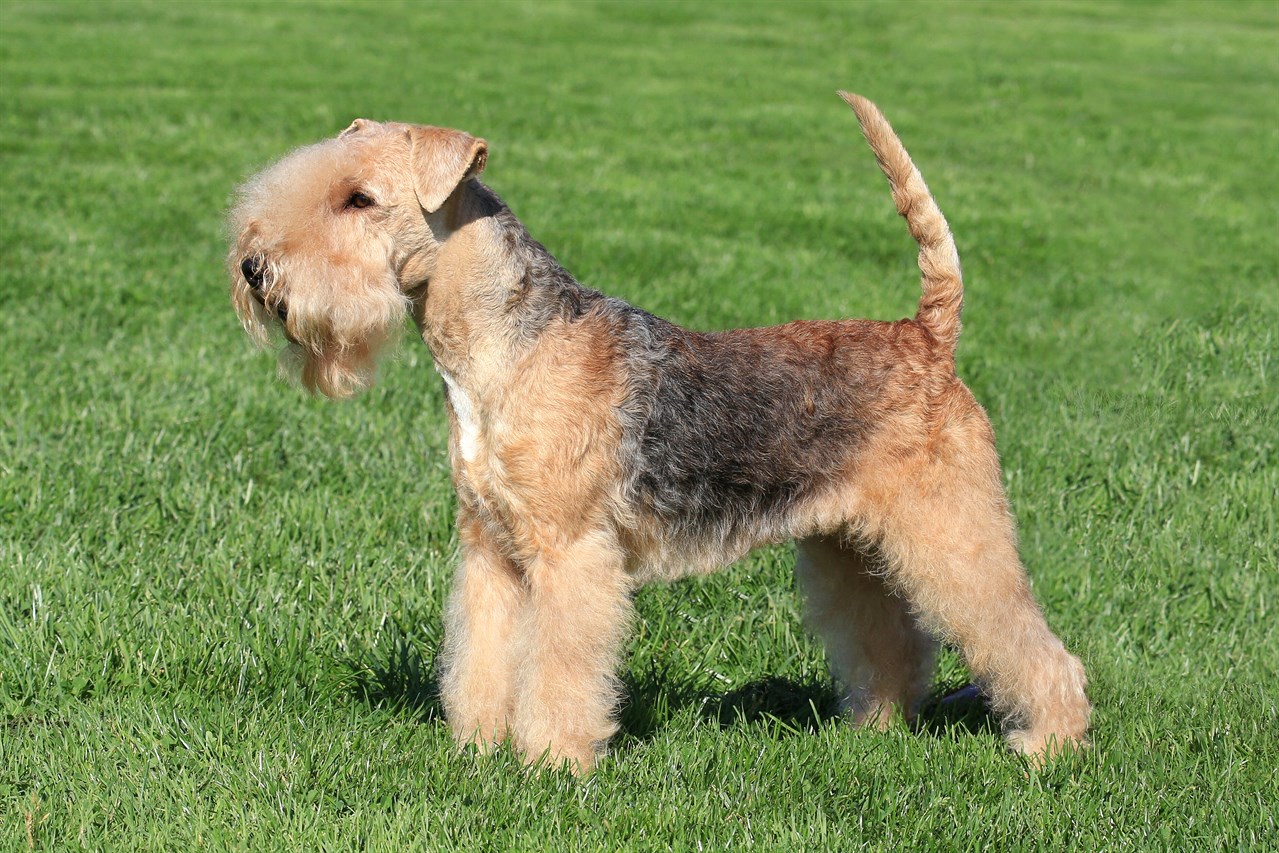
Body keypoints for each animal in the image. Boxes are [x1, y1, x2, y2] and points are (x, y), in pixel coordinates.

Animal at [227, 93, 1089, 772]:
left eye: (360, 199)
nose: (254, 268)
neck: (505, 347)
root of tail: (926, 336)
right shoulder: (489, 548)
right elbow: (481, 658)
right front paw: (475, 746)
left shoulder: (570, 552)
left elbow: (561, 665)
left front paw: (549, 761)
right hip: (851, 545)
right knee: (892, 646)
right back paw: (873, 730)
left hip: (953, 531)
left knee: (1029, 643)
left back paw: (1051, 742)